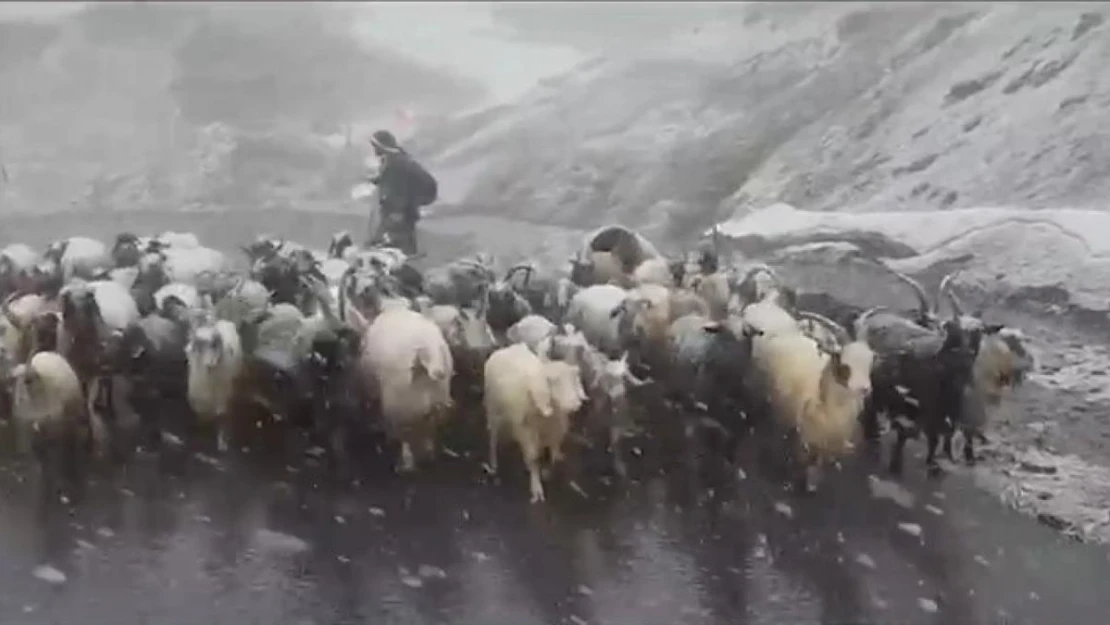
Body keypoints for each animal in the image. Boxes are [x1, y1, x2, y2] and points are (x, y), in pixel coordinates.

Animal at [186, 319, 243, 452]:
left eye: (214, 345)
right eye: (199, 346)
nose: (211, 363)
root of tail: (225, 321)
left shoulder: (223, 399)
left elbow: (223, 417)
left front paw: (223, 442)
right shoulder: (198, 399)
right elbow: (201, 416)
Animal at [486, 341, 590, 503]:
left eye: (574, 380)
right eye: (553, 382)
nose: (576, 404)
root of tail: (507, 349)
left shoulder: (556, 430)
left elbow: (553, 450)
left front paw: (550, 468)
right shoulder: (526, 430)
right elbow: (534, 456)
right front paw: (536, 488)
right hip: (493, 409)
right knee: (493, 435)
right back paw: (493, 463)